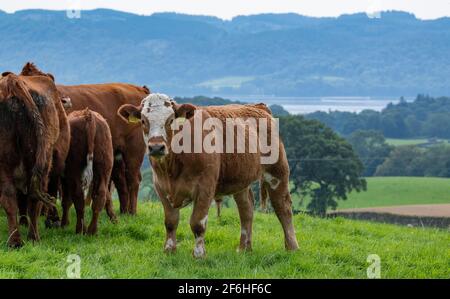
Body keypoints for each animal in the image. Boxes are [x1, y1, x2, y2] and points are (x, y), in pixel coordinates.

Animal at [20, 62, 149, 216]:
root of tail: (139, 88)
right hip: (116, 153)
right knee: (121, 181)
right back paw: (123, 212)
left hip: (134, 148)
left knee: (133, 179)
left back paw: (131, 212)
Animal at [118, 94, 298, 258]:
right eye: (143, 121)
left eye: (170, 120)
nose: (156, 147)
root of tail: (258, 107)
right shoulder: (161, 188)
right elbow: (170, 222)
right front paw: (169, 249)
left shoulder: (205, 187)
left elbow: (197, 223)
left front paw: (199, 254)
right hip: (240, 179)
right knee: (246, 209)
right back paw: (244, 248)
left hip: (277, 172)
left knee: (283, 207)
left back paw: (292, 247)